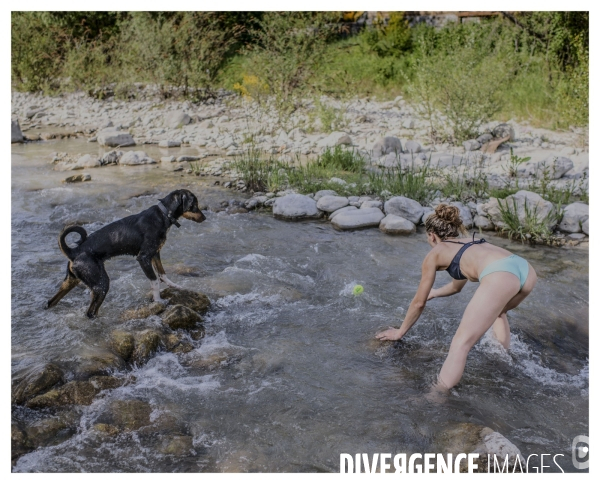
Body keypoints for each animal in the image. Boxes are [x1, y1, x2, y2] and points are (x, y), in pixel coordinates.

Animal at [45, 188, 206, 318]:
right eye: (195, 204)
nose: (204, 218)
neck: (164, 215)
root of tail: (74, 251)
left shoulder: (155, 254)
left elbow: (162, 274)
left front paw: (175, 286)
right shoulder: (144, 258)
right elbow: (154, 281)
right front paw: (158, 301)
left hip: (71, 281)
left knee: (51, 302)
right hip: (101, 284)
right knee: (90, 312)